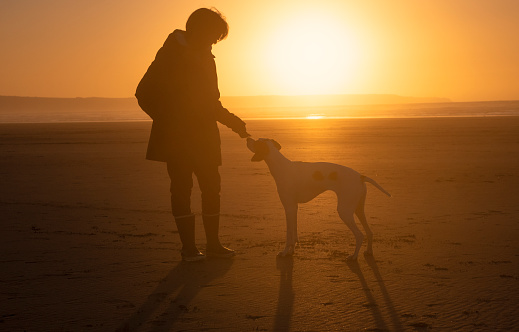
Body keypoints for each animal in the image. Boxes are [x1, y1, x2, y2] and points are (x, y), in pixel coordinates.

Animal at [247, 137, 390, 260]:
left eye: (256, 142)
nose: (248, 138)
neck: (281, 166)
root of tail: (361, 176)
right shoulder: (294, 208)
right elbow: (293, 233)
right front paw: (291, 251)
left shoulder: (288, 208)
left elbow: (288, 235)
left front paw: (284, 252)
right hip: (358, 209)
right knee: (369, 232)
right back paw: (369, 251)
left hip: (344, 211)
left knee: (360, 235)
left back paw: (354, 257)